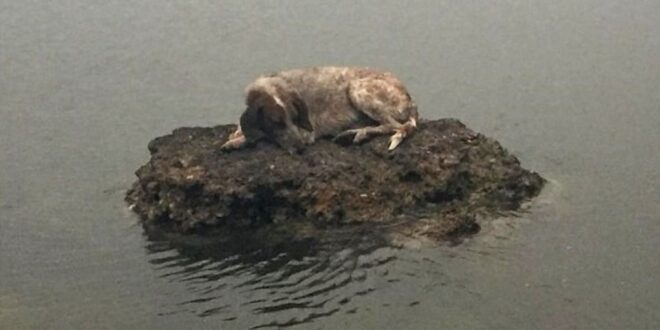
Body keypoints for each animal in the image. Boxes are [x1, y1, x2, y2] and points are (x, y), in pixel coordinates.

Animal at [222, 66, 418, 153]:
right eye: (276, 122)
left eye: (295, 118)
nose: (300, 147)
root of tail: (411, 102)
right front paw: (237, 134)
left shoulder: (306, 132)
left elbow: (261, 136)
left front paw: (238, 141)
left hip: (357, 89)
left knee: (395, 126)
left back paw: (358, 133)